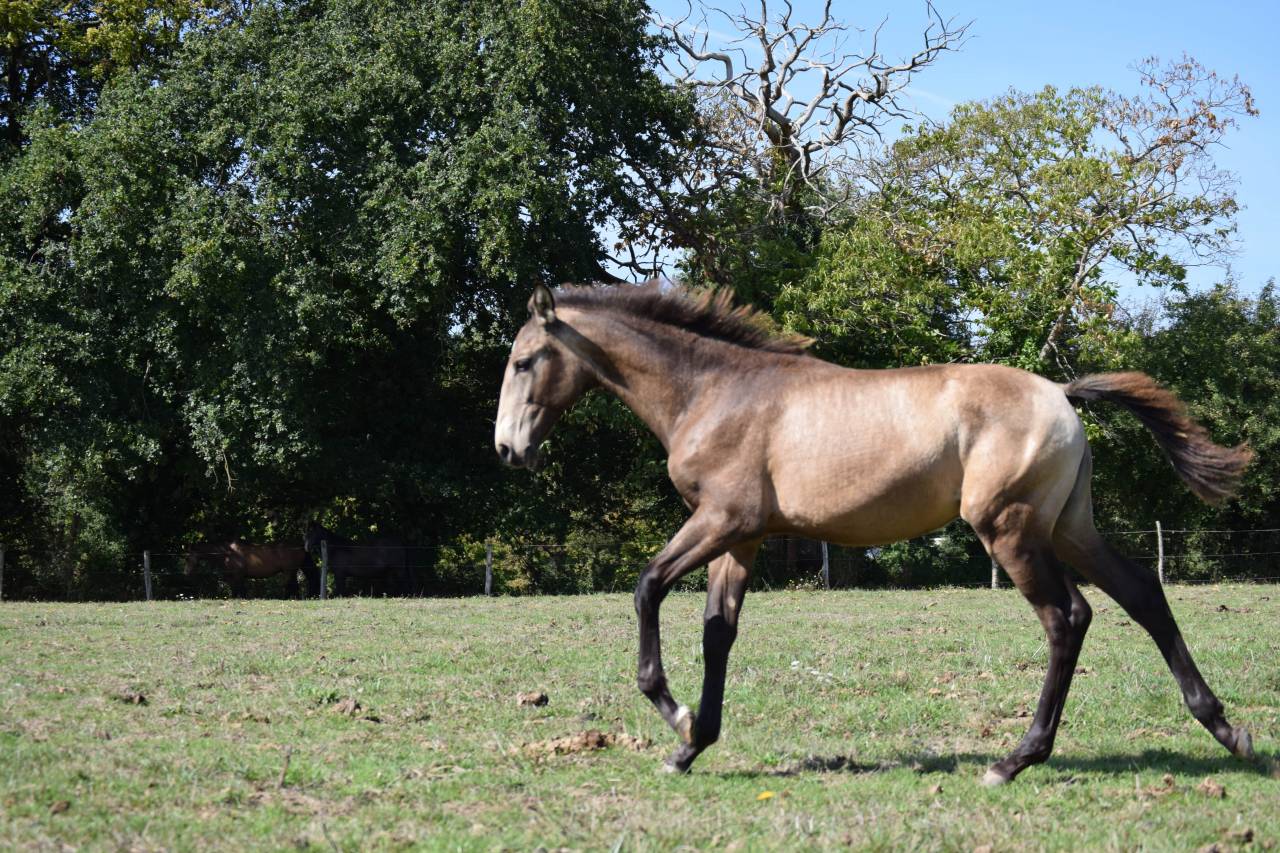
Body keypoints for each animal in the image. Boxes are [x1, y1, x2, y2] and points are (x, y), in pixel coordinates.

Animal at [184, 541, 313, 598]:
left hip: (288, 571)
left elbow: (239, 590)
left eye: (187, 558)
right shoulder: (233, 577)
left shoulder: (238, 576)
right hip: (292, 572)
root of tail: (300, 548)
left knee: (290, 586)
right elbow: (236, 591)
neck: (227, 554)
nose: (187, 573)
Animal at [493, 281, 1255, 785]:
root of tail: (1061, 396)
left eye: (525, 361)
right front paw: (691, 743)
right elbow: (717, 632)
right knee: (1142, 593)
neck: (714, 393)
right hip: (1068, 527)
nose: (508, 449)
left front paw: (673, 715)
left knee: (1068, 618)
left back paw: (1014, 760)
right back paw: (1227, 730)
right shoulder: (741, 539)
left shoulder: (720, 520)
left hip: (1009, 531)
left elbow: (646, 587)